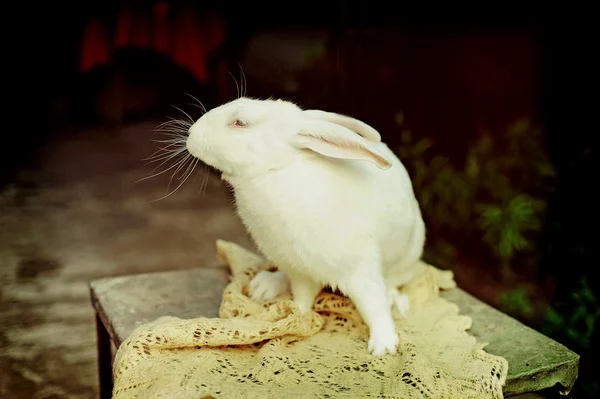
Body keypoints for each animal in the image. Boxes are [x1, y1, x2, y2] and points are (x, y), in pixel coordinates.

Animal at [185, 97, 424, 356]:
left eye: (240, 122)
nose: (191, 134)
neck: (277, 171)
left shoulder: (359, 269)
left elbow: (373, 305)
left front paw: (384, 346)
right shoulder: (300, 269)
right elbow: (303, 296)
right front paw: (295, 317)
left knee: (391, 284)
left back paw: (394, 299)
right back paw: (264, 285)